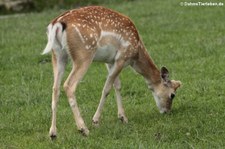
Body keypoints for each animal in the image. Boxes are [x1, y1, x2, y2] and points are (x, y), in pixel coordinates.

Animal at [41, 6, 181, 139]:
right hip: (84, 53)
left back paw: (53, 133)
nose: (167, 111)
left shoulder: (109, 61)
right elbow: (107, 88)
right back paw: (83, 129)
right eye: (172, 95)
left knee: (55, 88)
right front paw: (96, 120)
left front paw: (123, 117)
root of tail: (56, 24)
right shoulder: (122, 57)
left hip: (58, 55)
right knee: (69, 85)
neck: (136, 55)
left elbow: (117, 85)